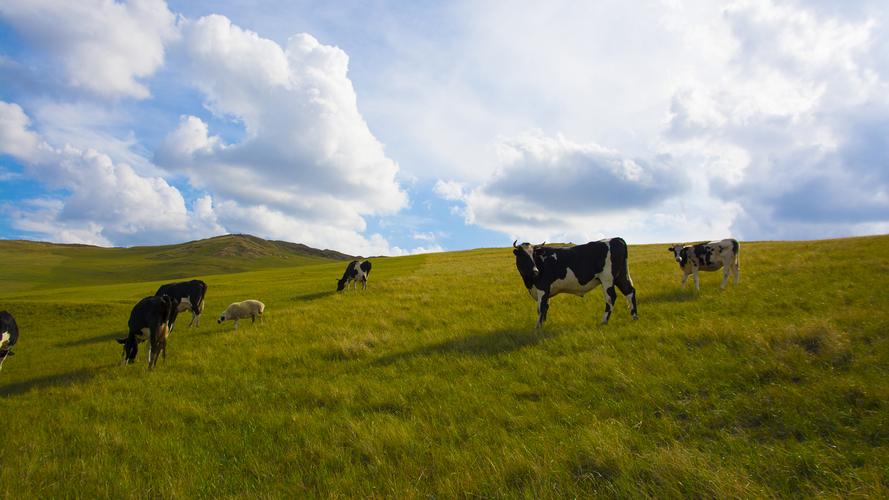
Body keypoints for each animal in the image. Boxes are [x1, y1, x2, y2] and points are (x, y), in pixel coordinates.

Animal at [512, 238, 640, 328]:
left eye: (533, 255)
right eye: (523, 255)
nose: (535, 271)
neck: (529, 282)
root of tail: (617, 239)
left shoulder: (543, 287)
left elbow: (541, 308)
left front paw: (537, 327)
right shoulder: (546, 291)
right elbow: (545, 308)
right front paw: (543, 325)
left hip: (607, 278)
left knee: (611, 297)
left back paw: (603, 321)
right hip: (621, 275)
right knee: (630, 291)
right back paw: (634, 317)